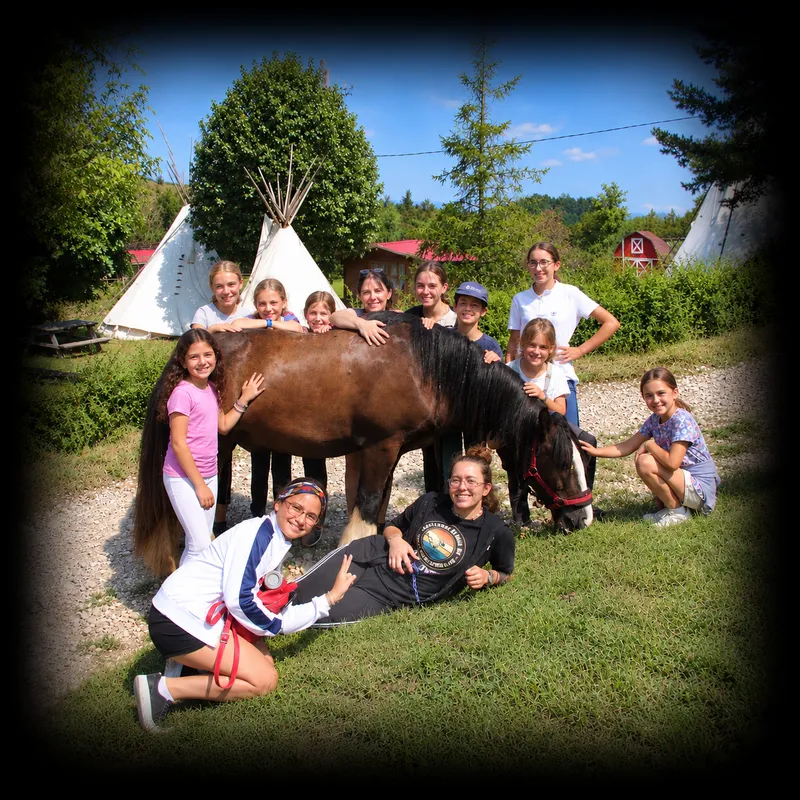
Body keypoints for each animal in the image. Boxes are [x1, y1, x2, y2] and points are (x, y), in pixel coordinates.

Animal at [133, 312, 594, 576]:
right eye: (559, 462)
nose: (583, 518)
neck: (426, 369)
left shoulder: (390, 451)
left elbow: (382, 503)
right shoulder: (380, 447)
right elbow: (369, 504)